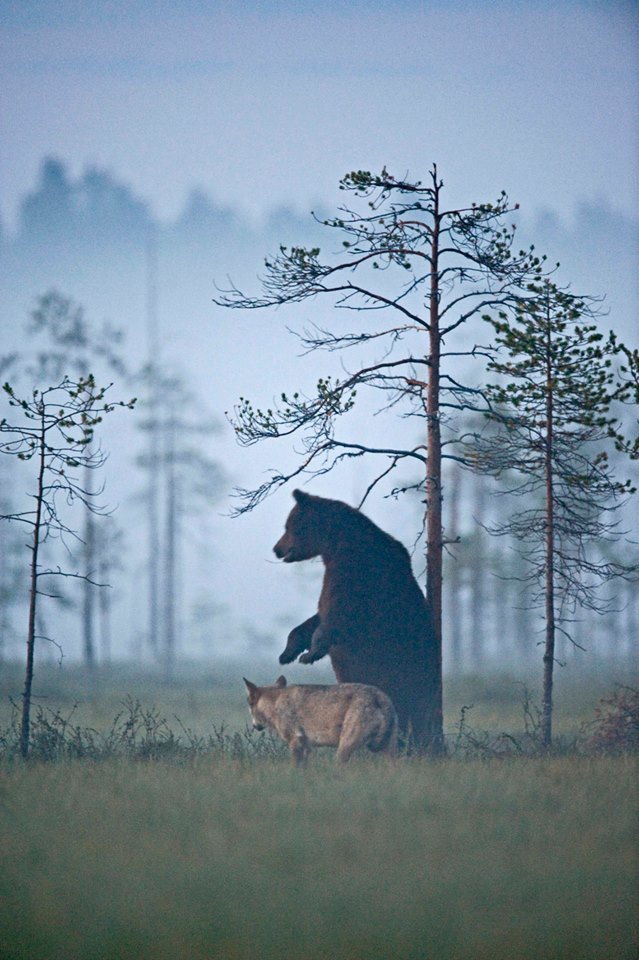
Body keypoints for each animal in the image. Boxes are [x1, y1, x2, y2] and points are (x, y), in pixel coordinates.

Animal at [242, 676, 398, 764]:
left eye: (249, 704)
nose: (254, 726)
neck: (276, 703)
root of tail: (380, 696)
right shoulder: (307, 746)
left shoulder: (295, 741)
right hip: (388, 752)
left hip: (344, 749)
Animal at [272, 492, 442, 752]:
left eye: (288, 526)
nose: (277, 549)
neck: (336, 545)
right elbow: (316, 616)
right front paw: (288, 653)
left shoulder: (358, 575)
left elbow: (338, 615)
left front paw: (310, 653)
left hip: (405, 671)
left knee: (409, 708)